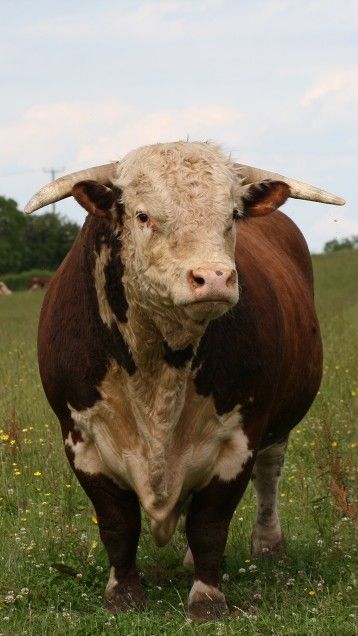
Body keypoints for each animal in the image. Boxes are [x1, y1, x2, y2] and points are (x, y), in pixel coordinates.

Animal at [24, 140, 344, 620]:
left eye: (232, 215)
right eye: (142, 215)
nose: (214, 278)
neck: (159, 369)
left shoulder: (239, 439)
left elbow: (210, 524)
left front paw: (207, 598)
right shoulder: (80, 438)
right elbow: (117, 523)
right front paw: (123, 594)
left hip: (278, 423)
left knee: (269, 474)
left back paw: (267, 544)